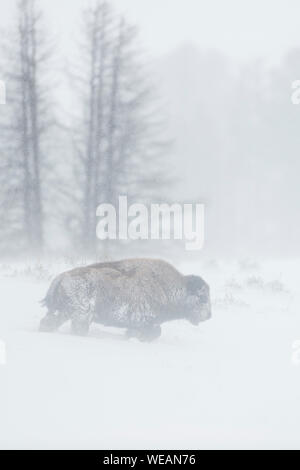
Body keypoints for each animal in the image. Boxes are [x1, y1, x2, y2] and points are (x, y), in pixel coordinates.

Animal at [39, 258, 211, 340]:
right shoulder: (144, 321)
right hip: (81, 315)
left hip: (63, 312)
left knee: (48, 322)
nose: (209, 315)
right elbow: (155, 331)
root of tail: (61, 277)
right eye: (202, 296)